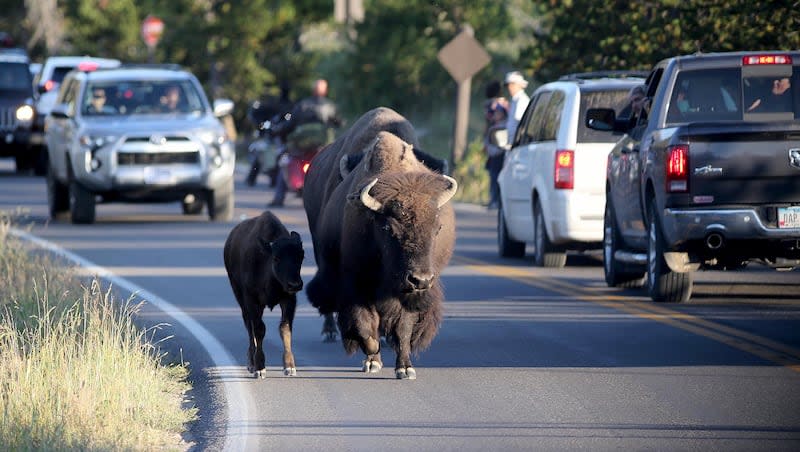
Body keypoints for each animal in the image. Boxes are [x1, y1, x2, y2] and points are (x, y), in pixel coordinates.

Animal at [223, 212, 304, 378]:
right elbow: (259, 330)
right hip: (240, 298)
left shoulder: (289, 299)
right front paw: (260, 368)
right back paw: (251, 363)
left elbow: (285, 328)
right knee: (249, 327)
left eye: (301, 256)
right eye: (276, 258)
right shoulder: (252, 301)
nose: (295, 284)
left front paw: (289, 367)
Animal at [304, 108, 456, 378]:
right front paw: (372, 360)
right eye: (387, 228)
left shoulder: (405, 294)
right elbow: (365, 323)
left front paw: (405, 368)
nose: (420, 279)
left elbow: (403, 327)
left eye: (437, 228)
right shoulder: (356, 283)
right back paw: (330, 332)